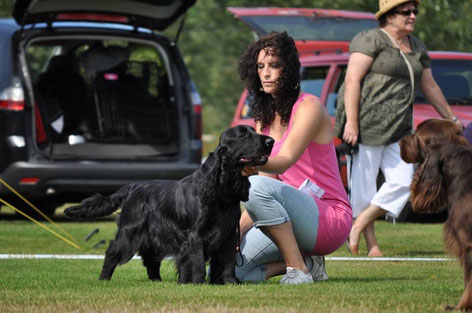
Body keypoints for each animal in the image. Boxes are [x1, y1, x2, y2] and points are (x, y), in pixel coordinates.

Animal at [64, 124, 274, 282]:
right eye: (243, 135)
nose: (270, 141)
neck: (221, 190)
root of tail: (133, 186)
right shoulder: (196, 235)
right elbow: (197, 263)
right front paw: (198, 283)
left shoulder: (229, 233)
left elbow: (229, 263)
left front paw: (230, 283)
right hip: (130, 231)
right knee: (112, 252)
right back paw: (104, 279)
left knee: (150, 260)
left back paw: (157, 281)